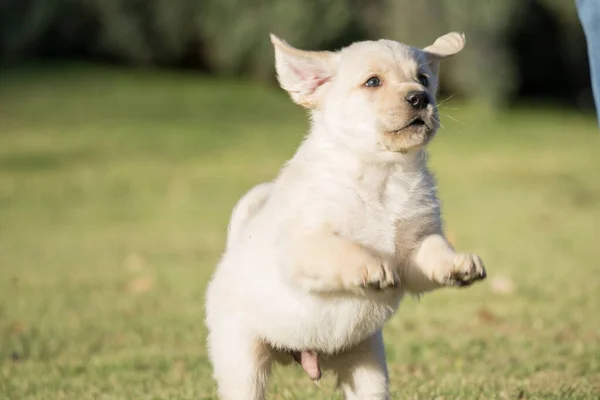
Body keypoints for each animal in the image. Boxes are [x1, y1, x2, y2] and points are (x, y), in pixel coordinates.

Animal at [204, 32, 486, 400]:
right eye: (373, 82)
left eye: (424, 79)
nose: (420, 97)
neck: (383, 172)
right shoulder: (303, 245)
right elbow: (343, 249)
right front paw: (371, 267)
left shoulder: (415, 250)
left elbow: (435, 252)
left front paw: (458, 264)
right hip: (242, 361)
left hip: (368, 368)